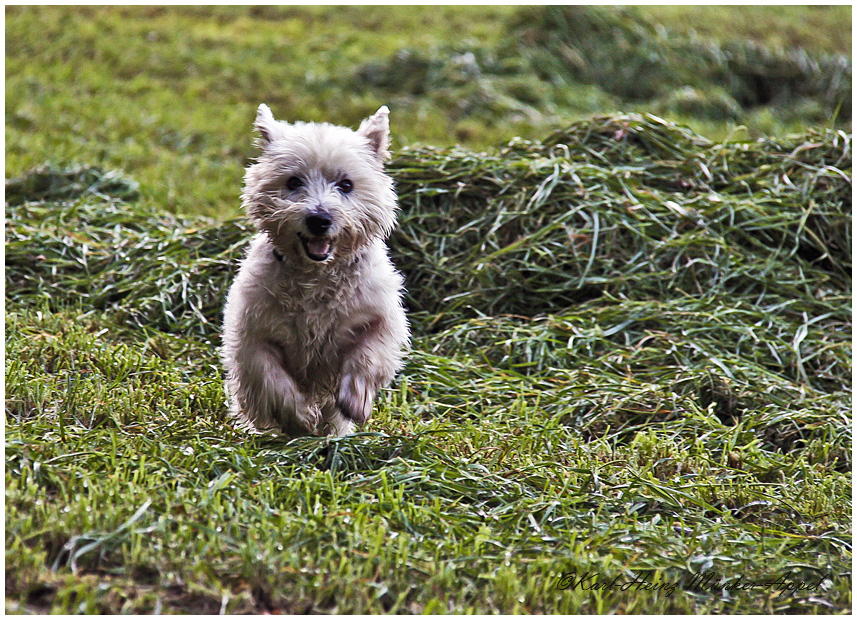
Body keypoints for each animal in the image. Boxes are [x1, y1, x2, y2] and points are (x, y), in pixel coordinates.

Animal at [221, 105, 408, 436]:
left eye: (346, 184)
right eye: (294, 181)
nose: (319, 219)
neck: (316, 276)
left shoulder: (380, 317)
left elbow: (368, 355)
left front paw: (356, 400)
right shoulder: (252, 332)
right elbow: (269, 376)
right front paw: (299, 417)